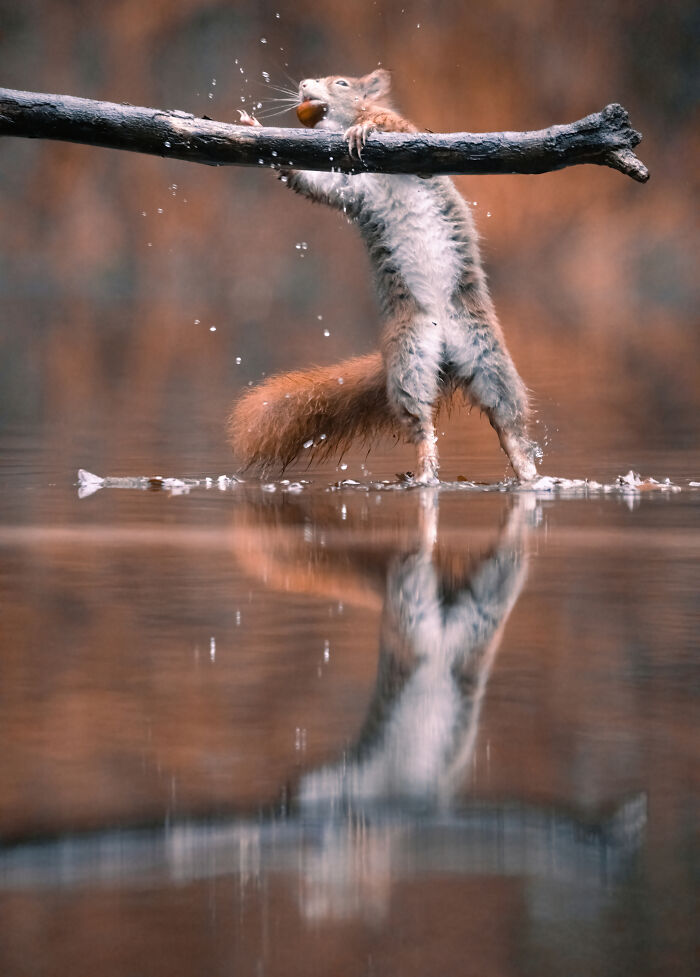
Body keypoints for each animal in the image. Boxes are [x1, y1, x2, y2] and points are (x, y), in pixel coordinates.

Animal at [230, 70, 538, 484]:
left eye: (342, 83)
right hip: (413, 358)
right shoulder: (349, 188)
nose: (304, 84)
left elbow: (394, 125)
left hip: (488, 359)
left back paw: (527, 470)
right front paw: (255, 131)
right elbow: (315, 184)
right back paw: (428, 469)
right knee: (423, 420)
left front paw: (365, 127)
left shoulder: (415, 149)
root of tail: (448, 358)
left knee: (507, 421)